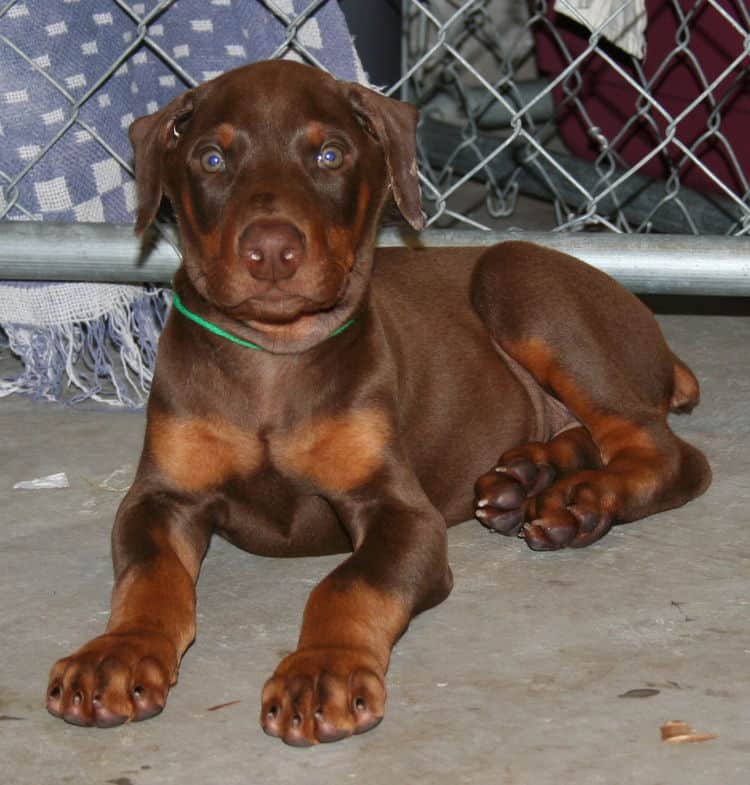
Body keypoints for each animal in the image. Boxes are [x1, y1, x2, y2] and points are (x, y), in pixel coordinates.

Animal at [44, 58, 712, 744]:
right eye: (210, 158)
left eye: (331, 154)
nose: (271, 251)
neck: (274, 358)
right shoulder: (162, 496)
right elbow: (148, 573)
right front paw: (119, 652)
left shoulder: (398, 508)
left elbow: (348, 584)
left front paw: (322, 670)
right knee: (589, 434)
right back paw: (529, 480)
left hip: (519, 282)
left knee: (666, 451)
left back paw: (582, 500)